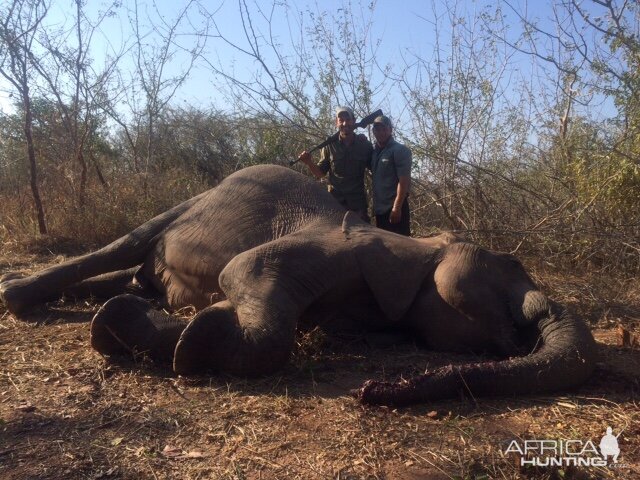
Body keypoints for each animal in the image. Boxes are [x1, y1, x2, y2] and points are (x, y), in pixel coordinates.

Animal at [0, 164, 596, 404]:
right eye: (512, 267)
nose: (368, 392)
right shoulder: (340, 247)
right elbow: (244, 275)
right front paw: (184, 340)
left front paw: (159, 331)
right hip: (190, 204)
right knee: (124, 246)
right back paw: (16, 295)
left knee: (131, 274)